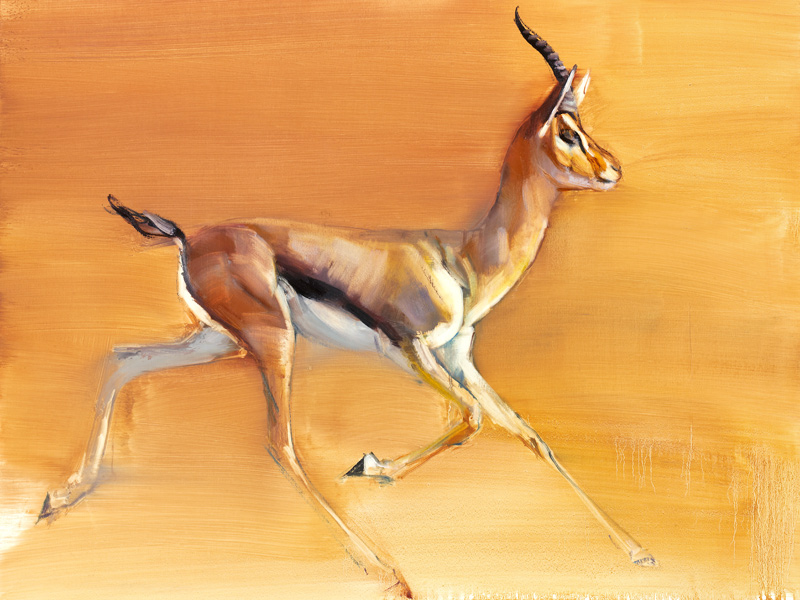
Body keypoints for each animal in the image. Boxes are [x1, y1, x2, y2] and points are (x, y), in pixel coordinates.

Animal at [38, 9, 655, 597]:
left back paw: (61, 496)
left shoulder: (458, 359)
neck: (462, 261)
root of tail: (189, 237)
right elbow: (471, 419)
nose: (613, 170)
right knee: (281, 444)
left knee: (125, 360)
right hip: (272, 342)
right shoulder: (411, 350)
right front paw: (369, 466)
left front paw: (638, 552)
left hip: (219, 340)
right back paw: (386, 569)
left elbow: (530, 435)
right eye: (568, 132)